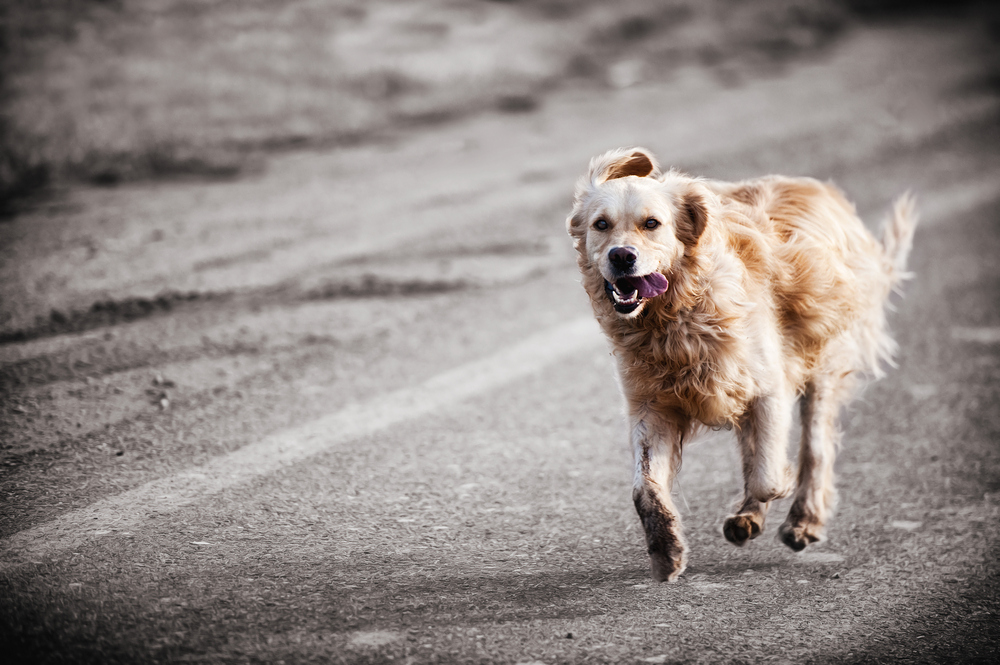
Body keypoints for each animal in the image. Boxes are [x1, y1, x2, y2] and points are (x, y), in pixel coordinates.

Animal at [568, 147, 916, 580]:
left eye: (652, 224)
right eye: (601, 224)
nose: (621, 256)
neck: (677, 316)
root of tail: (824, 190)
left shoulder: (769, 389)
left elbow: (768, 474)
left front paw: (777, 490)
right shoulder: (651, 408)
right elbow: (644, 487)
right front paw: (665, 549)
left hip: (823, 366)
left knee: (815, 448)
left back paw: (803, 518)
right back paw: (750, 516)